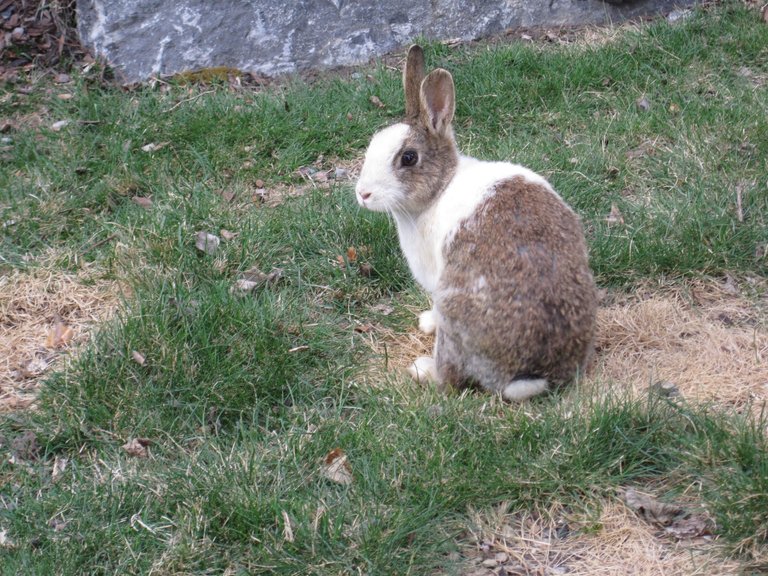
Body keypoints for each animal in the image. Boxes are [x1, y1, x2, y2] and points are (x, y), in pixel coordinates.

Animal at [356, 45, 600, 400]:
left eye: (408, 158)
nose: (363, 193)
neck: (441, 188)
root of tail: (528, 375)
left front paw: (427, 324)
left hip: (454, 307)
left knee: (451, 378)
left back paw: (423, 370)